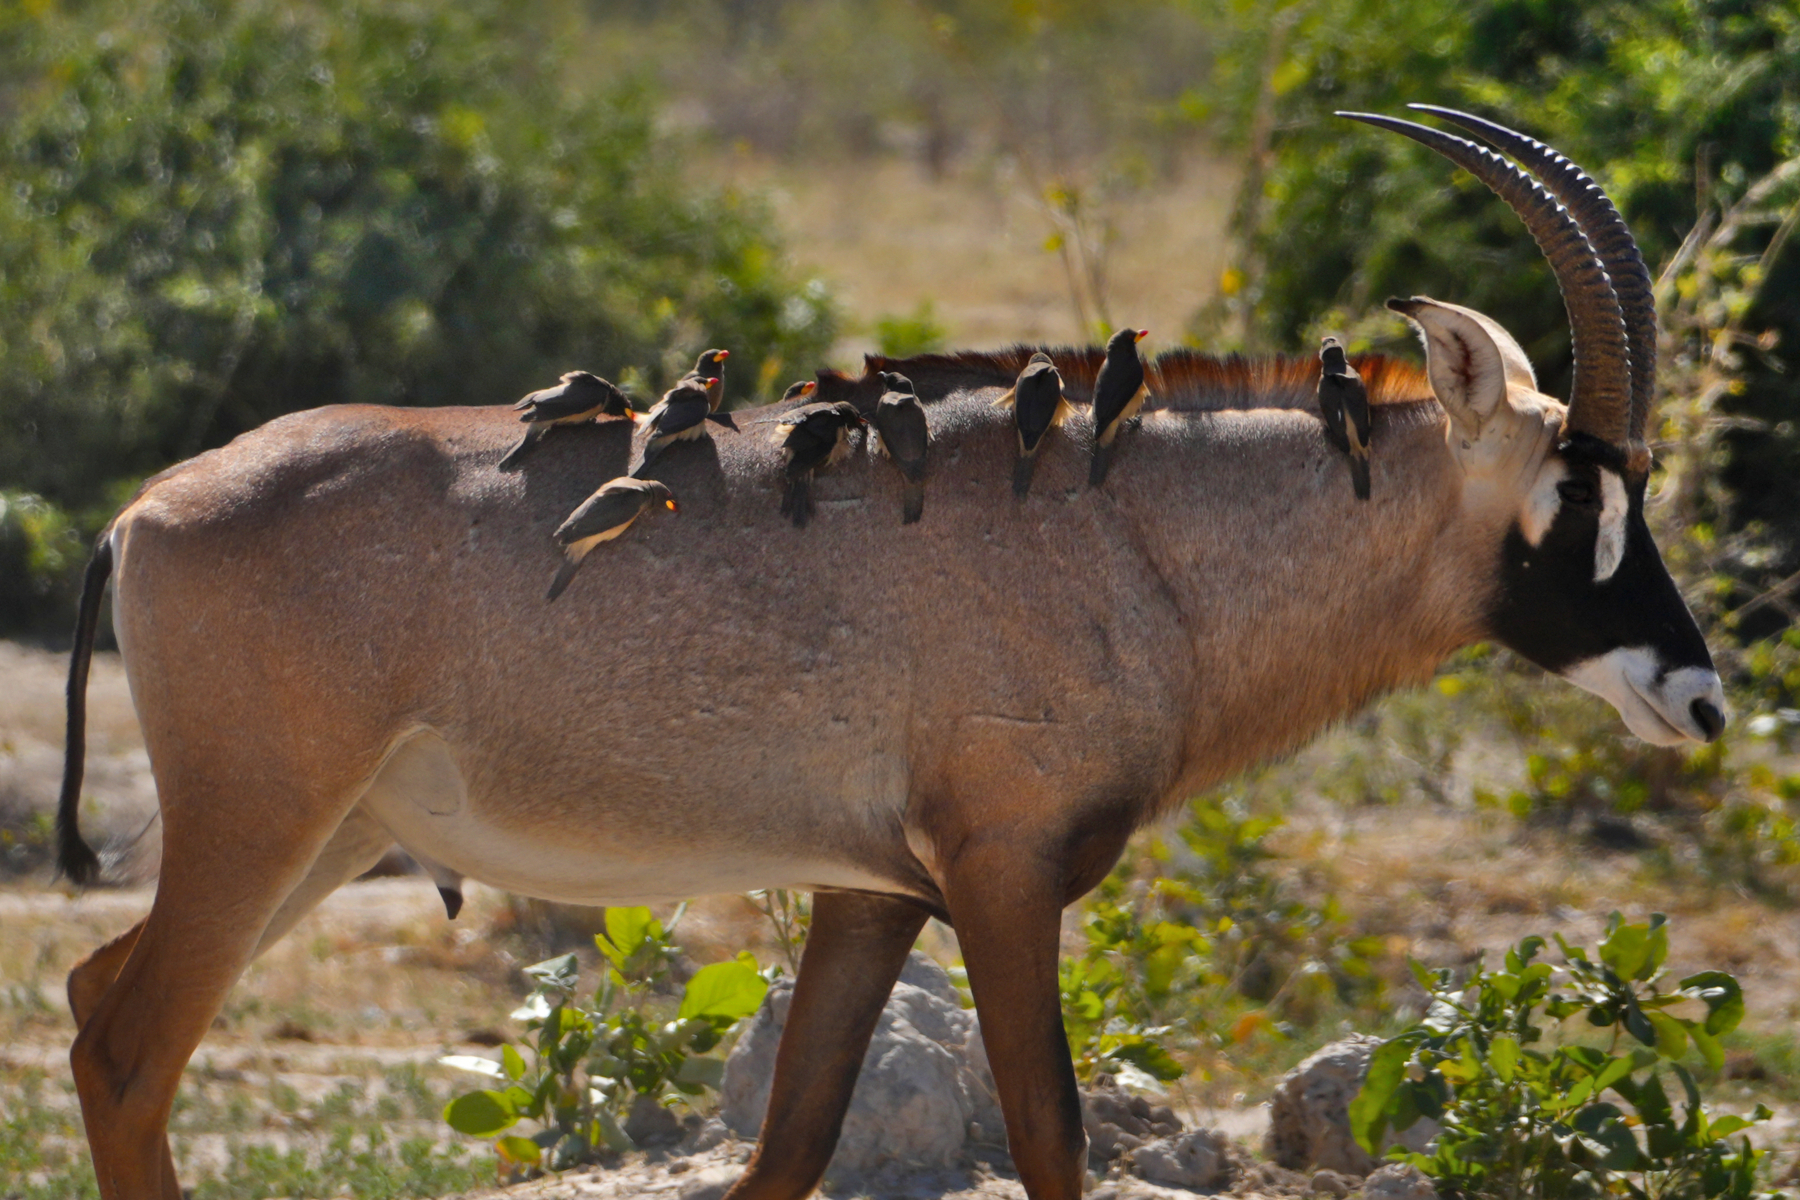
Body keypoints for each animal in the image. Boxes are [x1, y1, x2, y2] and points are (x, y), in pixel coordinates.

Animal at [52, 107, 1713, 1194]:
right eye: (1579, 492)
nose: (1695, 694)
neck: (1137, 538)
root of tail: (140, 513)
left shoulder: (873, 897)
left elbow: (791, 1144)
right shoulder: (1001, 873)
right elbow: (1048, 1133)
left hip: (325, 840)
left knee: (89, 1001)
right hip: (261, 824)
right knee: (131, 1049)